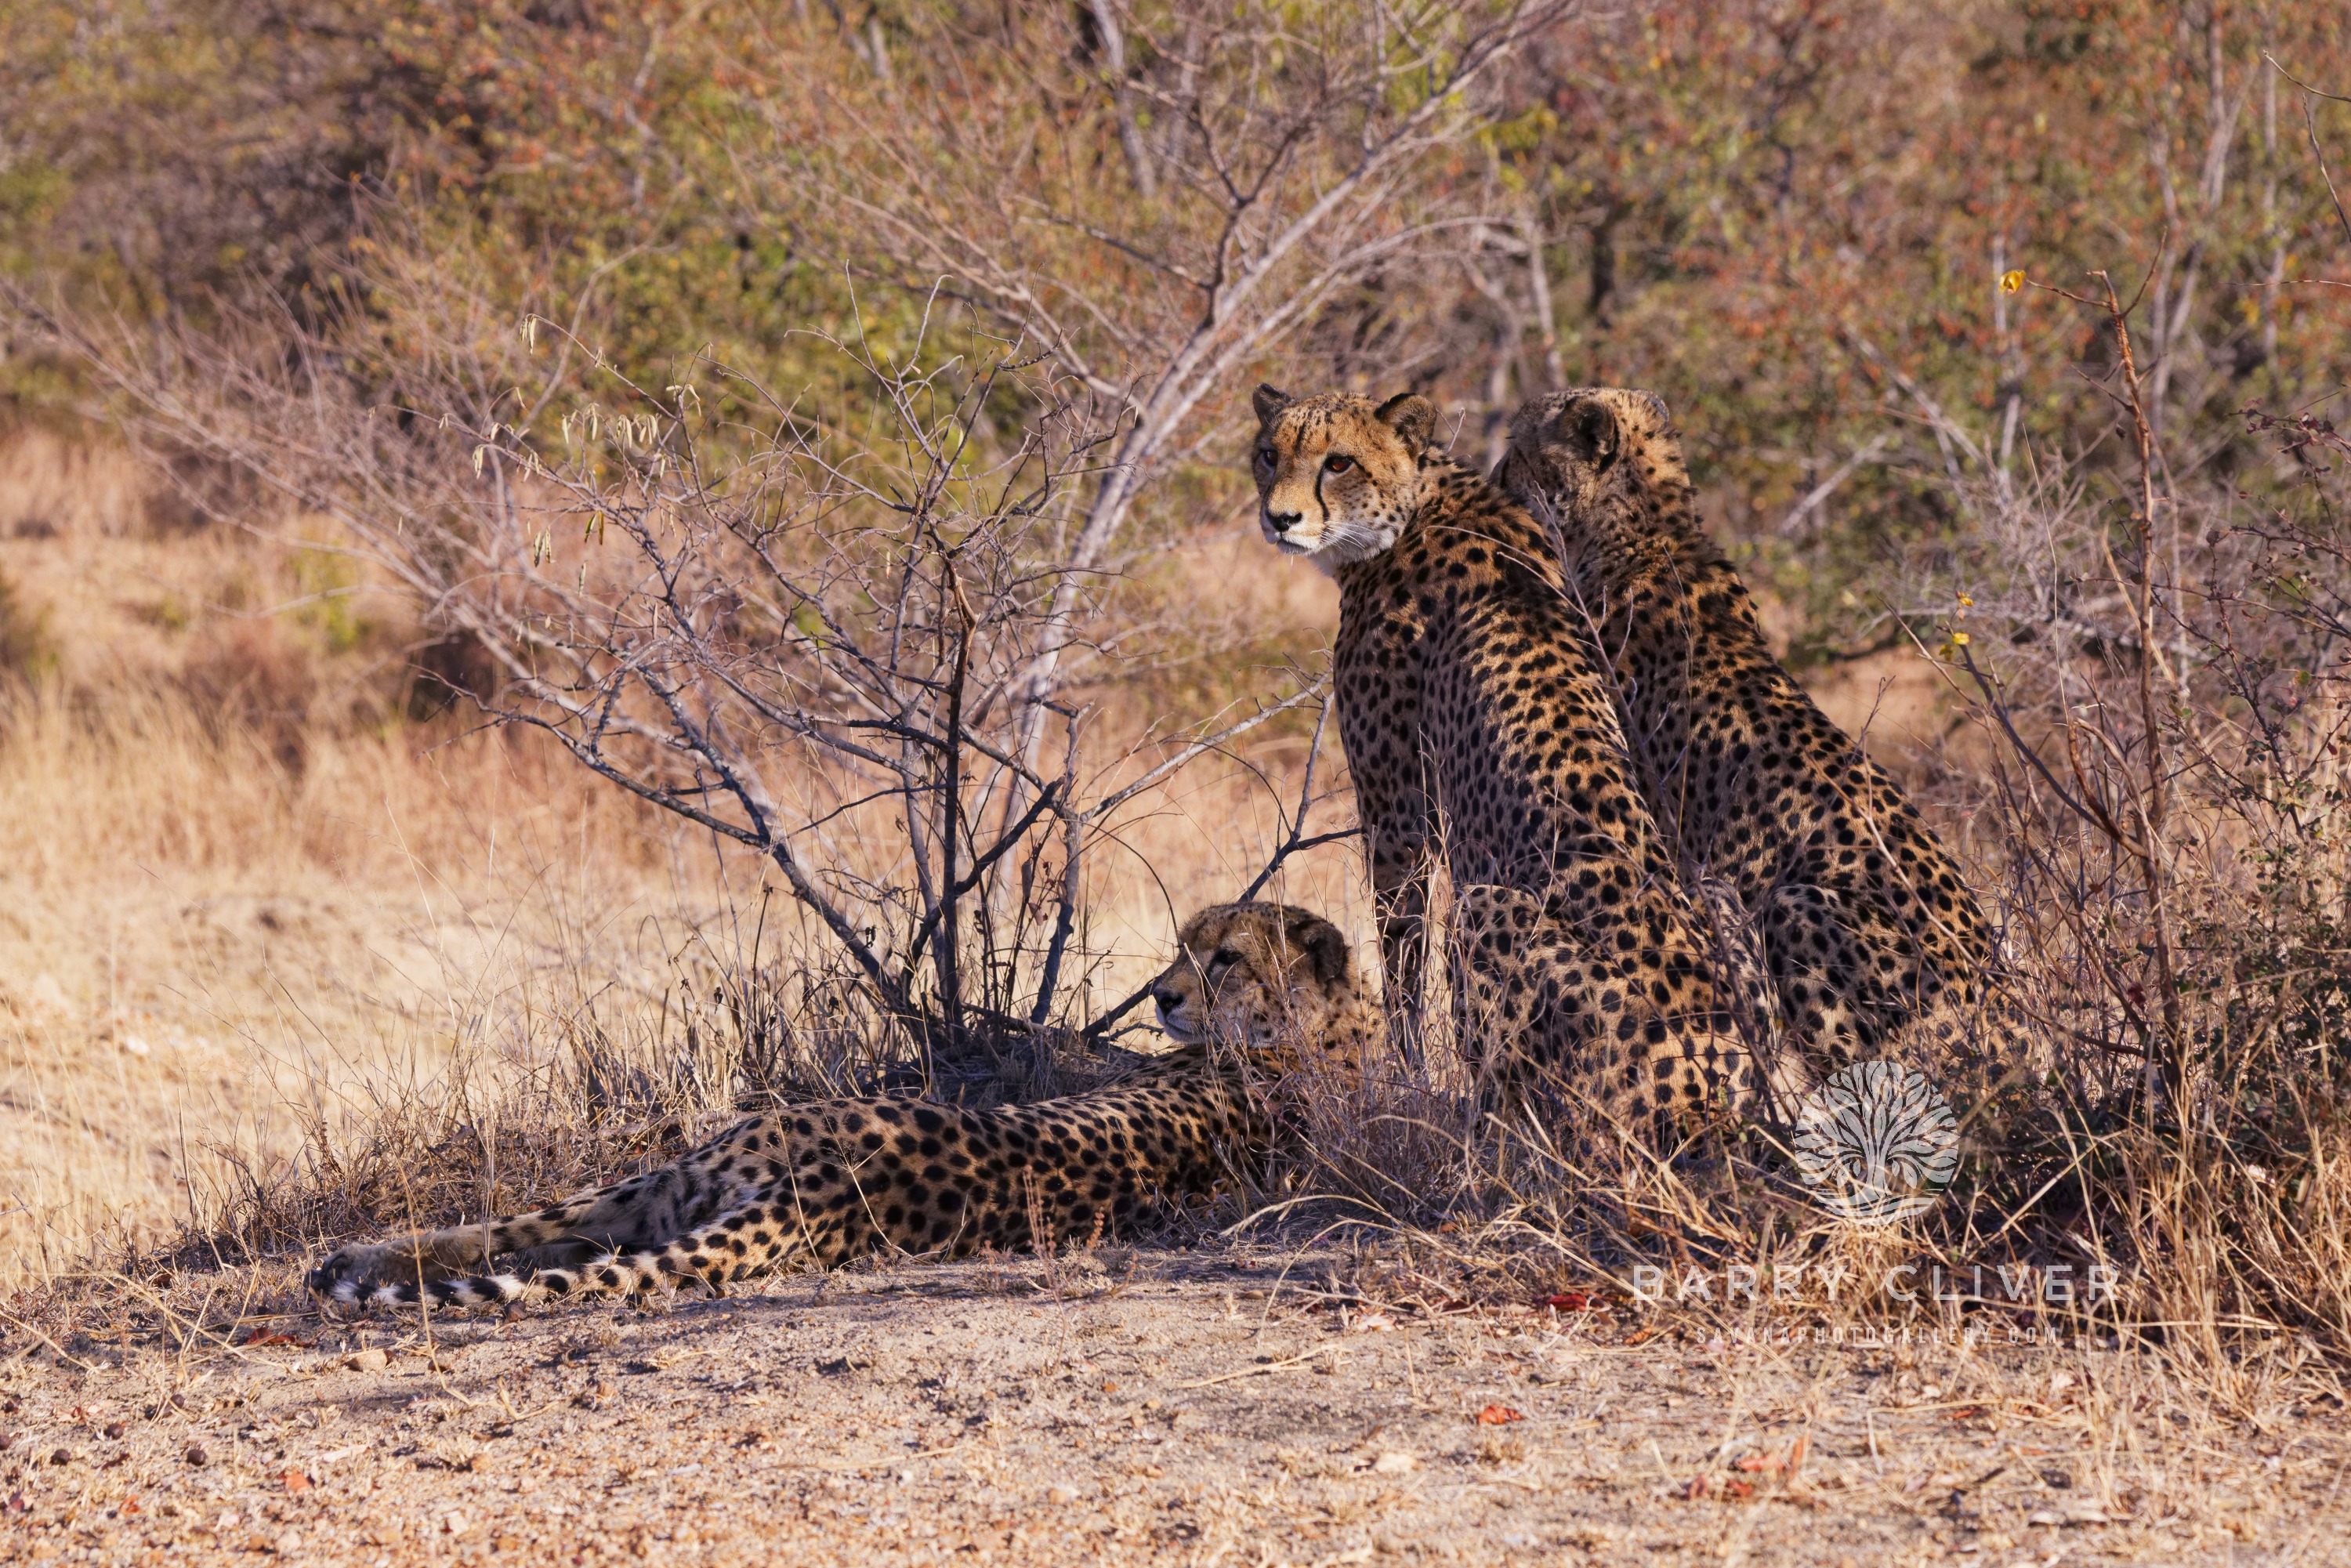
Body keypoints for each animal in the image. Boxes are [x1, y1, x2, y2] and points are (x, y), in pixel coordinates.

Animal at [306, 902, 1376, 1311]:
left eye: (1226, 955)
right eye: (1184, 943)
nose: (1162, 996)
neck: (1325, 1035)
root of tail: (821, 1188)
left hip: (691, 1176)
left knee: (530, 1238)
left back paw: (351, 1268)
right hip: (678, 1183)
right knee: (510, 1234)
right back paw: (351, 1260)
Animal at [1248, 383, 1753, 1136]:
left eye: (1338, 462)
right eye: (1267, 454)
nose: (1280, 518)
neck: (1417, 506)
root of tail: (1719, 1083)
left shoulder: (1398, 817)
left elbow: (1400, 963)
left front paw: (1406, 1081)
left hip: (1486, 907)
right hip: (1727, 896)